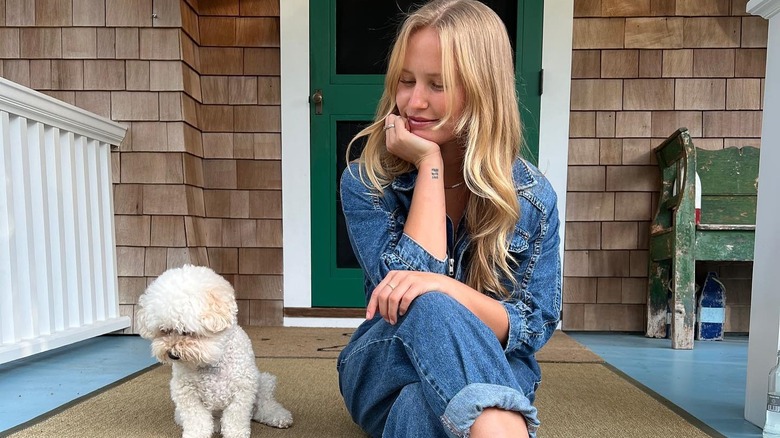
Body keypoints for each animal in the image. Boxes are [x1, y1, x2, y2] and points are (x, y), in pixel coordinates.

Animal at [137, 266, 292, 436]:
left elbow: (235, 420)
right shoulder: (186, 393)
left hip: (262, 382)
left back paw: (278, 416)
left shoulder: (242, 392)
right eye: (165, 331)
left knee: (264, 405)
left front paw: (236, 434)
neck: (211, 363)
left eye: (186, 331)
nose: (171, 355)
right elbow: (197, 421)